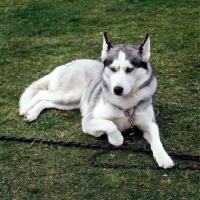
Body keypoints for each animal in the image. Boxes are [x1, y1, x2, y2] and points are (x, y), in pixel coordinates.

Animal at [19, 32, 174, 169]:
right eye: (113, 68)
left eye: (130, 69)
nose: (117, 89)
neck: (125, 105)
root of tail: (69, 63)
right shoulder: (88, 121)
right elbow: (110, 125)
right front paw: (116, 139)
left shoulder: (149, 124)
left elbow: (156, 139)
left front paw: (163, 157)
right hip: (67, 95)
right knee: (41, 93)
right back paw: (26, 109)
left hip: (70, 103)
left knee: (46, 102)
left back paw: (32, 113)